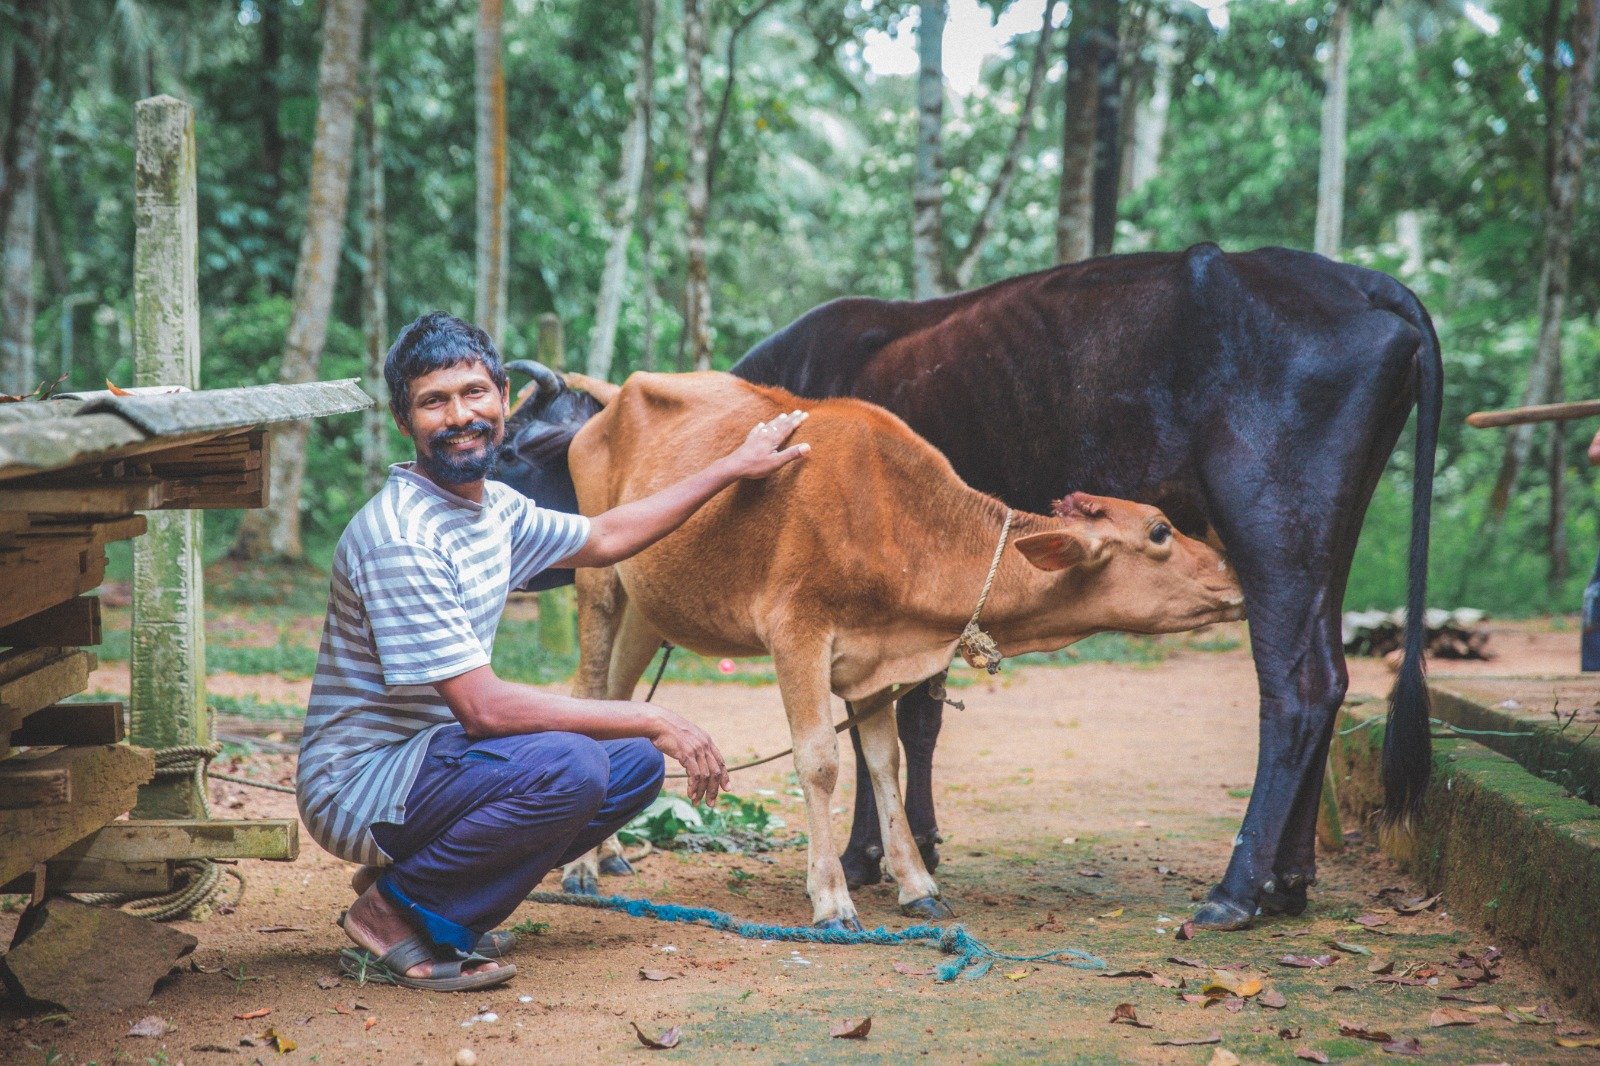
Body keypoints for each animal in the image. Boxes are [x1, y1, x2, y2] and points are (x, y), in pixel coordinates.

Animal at [559, 369, 1244, 928]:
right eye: (1160, 530)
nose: (1235, 575)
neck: (897, 521)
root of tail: (617, 394)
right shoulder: (796, 631)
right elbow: (820, 761)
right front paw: (831, 897)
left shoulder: (874, 659)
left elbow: (884, 762)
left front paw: (916, 884)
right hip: (599, 584)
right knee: (586, 692)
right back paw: (581, 868)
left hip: (649, 610)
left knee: (617, 698)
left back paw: (609, 853)